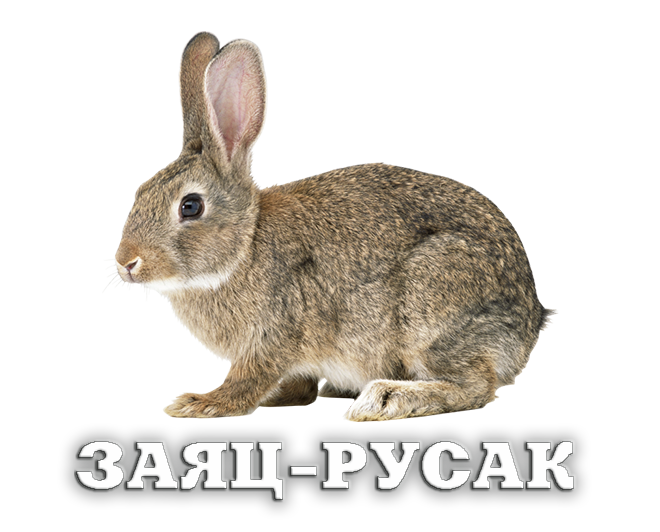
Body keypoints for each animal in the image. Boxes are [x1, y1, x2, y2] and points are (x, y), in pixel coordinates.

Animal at [115, 32, 547, 421]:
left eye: (190, 206)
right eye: (141, 192)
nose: (125, 262)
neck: (243, 248)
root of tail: (528, 323)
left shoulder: (275, 335)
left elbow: (249, 380)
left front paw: (201, 403)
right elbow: (297, 383)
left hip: (432, 306)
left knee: (474, 386)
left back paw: (384, 399)